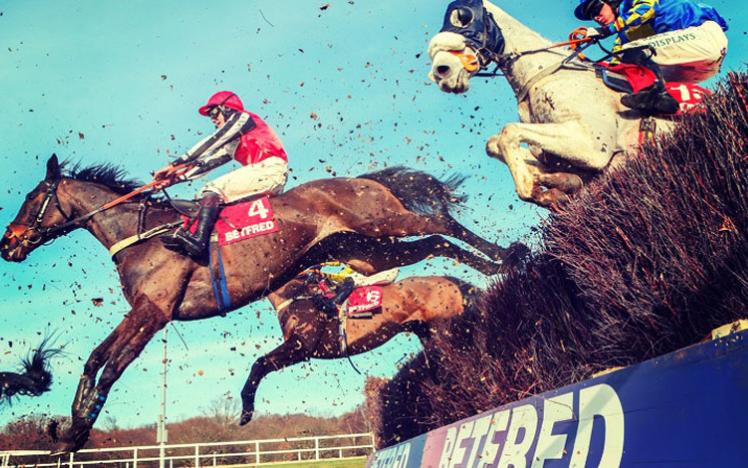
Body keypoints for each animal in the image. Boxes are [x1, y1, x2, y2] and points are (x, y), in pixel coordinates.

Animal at [240, 272, 480, 426]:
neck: (297, 294)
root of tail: (451, 281)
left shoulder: (301, 347)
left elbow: (259, 364)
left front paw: (246, 411)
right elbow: (260, 364)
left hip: (443, 329)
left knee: (457, 361)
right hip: (427, 334)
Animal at [426, 0, 676, 208]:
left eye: (464, 16)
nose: (441, 71)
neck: (543, 75)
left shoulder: (593, 146)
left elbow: (509, 132)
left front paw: (534, 187)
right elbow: (494, 144)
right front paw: (557, 184)